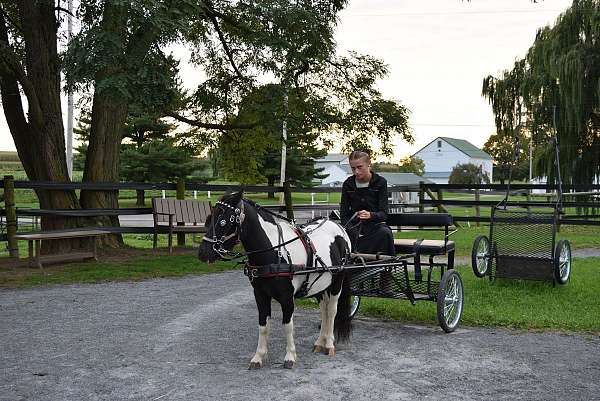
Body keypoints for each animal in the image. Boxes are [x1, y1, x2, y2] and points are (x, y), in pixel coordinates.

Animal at [199, 191, 354, 368]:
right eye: (210, 218)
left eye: (224, 220)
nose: (203, 253)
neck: (274, 253)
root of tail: (339, 227)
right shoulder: (260, 295)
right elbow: (263, 325)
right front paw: (258, 356)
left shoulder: (287, 297)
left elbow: (288, 325)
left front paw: (290, 356)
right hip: (320, 285)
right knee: (324, 310)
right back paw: (319, 342)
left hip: (337, 281)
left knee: (332, 310)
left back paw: (328, 344)